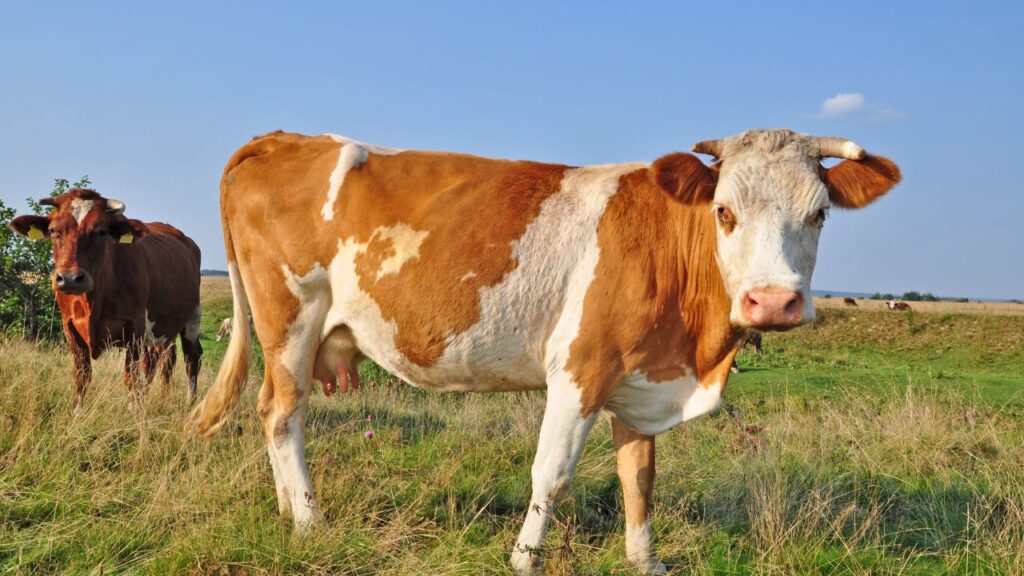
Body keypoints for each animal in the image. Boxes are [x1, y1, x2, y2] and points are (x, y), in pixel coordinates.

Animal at [10, 189, 203, 410]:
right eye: (53, 231)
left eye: (101, 232)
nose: (69, 278)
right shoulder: (70, 326)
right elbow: (82, 374)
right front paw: (78, 412)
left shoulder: (135, 327)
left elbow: (131, 376)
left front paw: (134, 412)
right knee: (159, 361)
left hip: (192, 317)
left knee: (191, 357)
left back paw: (190, 402)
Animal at [188, 129, 900, 574]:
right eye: (724, 211)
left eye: (819, 215)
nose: (773, 302)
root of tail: (284, 137)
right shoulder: (581, 369)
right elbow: (552, 474)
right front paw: (524, 559)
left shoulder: (638, 381)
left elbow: (639, 476)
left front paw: (646, 560)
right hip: (291, 317)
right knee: (283, 413)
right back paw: (311, 524)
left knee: (274, 412)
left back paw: (289, 510)